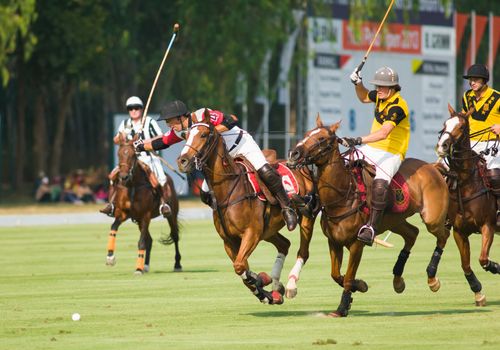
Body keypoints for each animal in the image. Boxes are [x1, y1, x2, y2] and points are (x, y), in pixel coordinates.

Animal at [105, 134, 182, 274]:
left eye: (132, 155)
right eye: (119, 154)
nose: (123, 177)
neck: (133, 185)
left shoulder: (145, 215)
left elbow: (141, 242)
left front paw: (138, 269)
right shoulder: (123, 213)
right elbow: (113, 227)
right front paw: (110, 257)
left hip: (171, 214)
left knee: (175, 235)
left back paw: (177, 264)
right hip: (139, 221)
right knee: (149, 240)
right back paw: (146, 265)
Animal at [176, 109, 316, 304]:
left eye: (203, 135)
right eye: (186, 135)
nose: (183, 161)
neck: (228, 189)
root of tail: (302, 166)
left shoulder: (251, 233)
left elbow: (240, 265)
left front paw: (261, 285)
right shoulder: (229, 240)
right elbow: (242, 267)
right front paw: (263, 287)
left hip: (305, 218)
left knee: (303, 251)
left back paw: (289, 286)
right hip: (268, 230)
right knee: (284, 244)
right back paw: (276, 286)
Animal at [288, 115, 452, 318]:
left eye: (321, 139)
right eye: (307, 134)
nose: (293, 154)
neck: (343, 194)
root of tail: (432, 166)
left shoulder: (356, 244)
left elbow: (347, 277)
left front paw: (342, 308)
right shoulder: (334, 241)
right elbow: (336, 274)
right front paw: (360, 286)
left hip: (432, 218)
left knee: (443, 235)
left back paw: (432, 279)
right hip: (394, 221)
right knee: (413, 233)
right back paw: (398, 280)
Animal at [436, 105, 498, 304]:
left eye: (462, 127)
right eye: (445, 123)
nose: (442, 146)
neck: (467, 183)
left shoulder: (488, 225)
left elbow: (483, 259)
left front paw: (496, 267)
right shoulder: (459, 231)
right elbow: (465, 264)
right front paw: (478, 292)